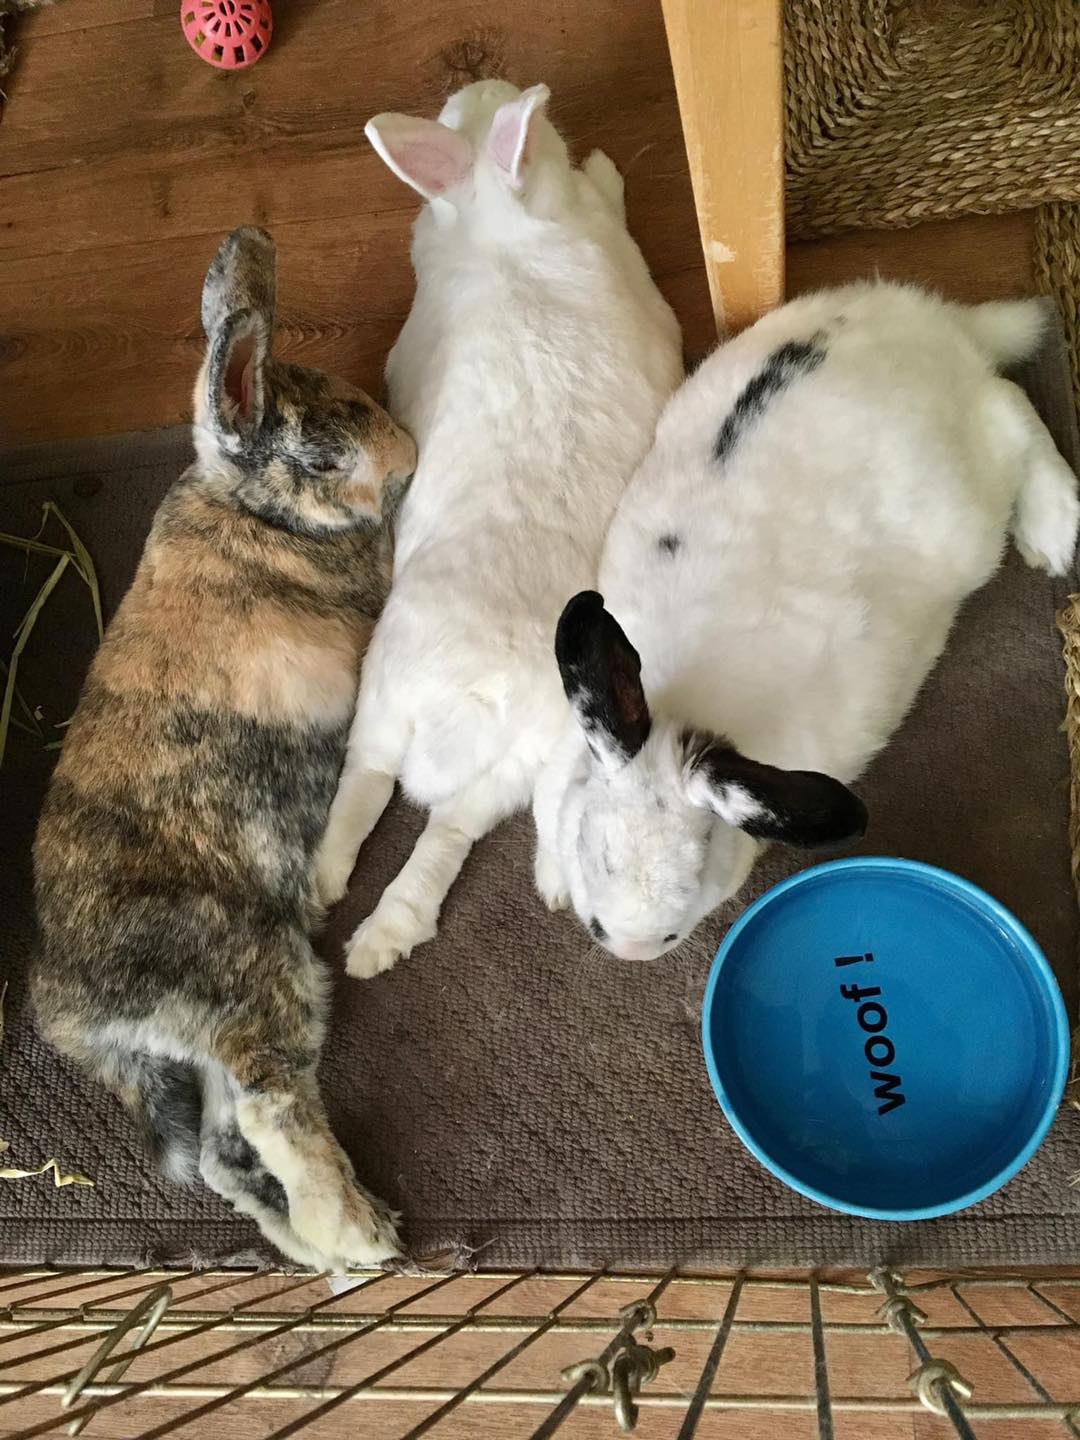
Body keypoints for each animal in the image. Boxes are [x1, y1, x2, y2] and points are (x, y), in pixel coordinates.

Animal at [32, 226, 418, 1270]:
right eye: (324, 453)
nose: (407, 458)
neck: (253, 509)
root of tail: (78, 1020)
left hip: (204, 1048)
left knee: (217, 1155)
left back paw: (321, 1254)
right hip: (257, 984)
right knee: (274, 1109)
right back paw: (362, 1238)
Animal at [313, 79, 684, 977]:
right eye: (540, 130)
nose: (495, 89)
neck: (497, 230)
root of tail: (459, 697)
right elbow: (611, 198)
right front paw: (607, 166)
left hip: (382, 698)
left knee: (366, 784)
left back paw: (331, 894)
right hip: (514, 753)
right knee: (448, 830)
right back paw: (385, 935)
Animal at [534, 282, 1080, 962]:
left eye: (699, 863)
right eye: (590, 846)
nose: (632, 948)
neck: (682, 708)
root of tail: (930, 323)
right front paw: (552, 887)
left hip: (980, 483)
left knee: (1014, 408)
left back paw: (1053, 533)